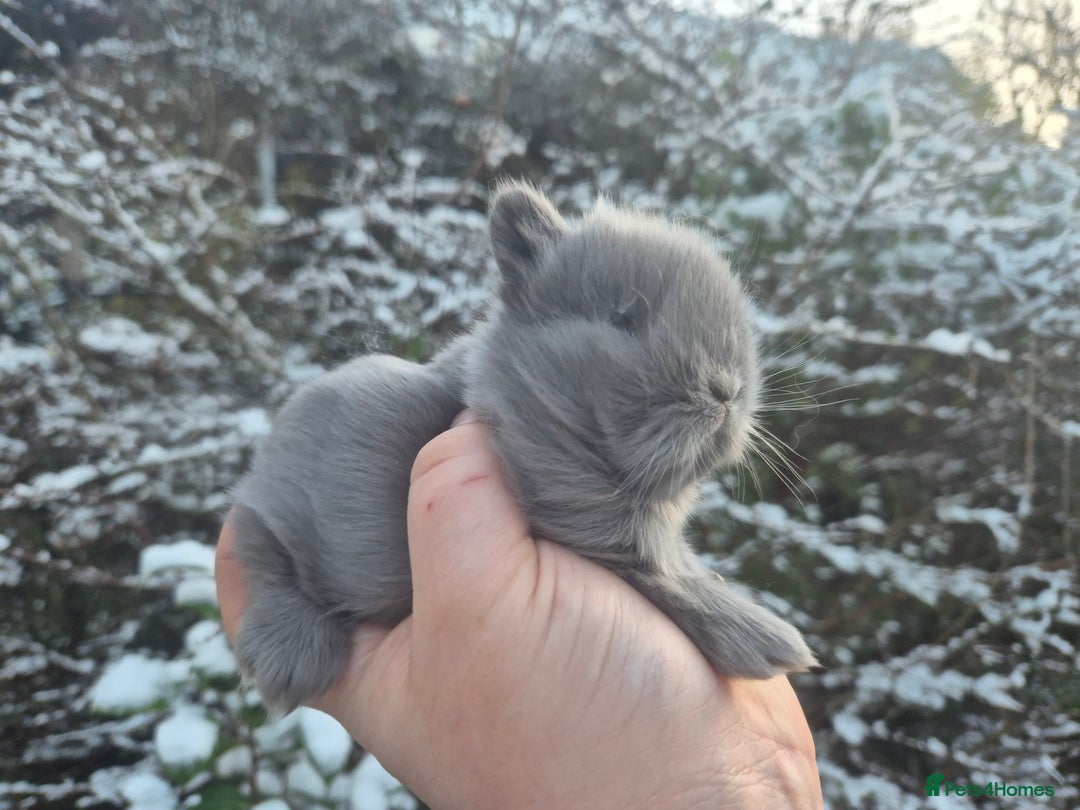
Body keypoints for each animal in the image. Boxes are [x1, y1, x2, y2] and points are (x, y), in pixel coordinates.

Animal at [230, 180, 817, 712]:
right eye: (623, 318)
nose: (726, 389)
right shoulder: (589, 531)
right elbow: (669, 584)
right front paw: (774, 642)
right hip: (276, 517)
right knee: (258, 547)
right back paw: (295, 660)